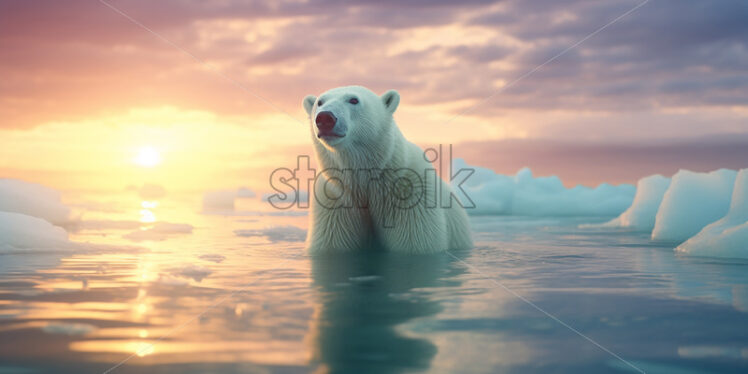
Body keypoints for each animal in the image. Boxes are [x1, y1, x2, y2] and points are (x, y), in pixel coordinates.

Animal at [300, 86, 470, 253]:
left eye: (353, 100)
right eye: (320, 102)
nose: (325, 118)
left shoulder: (411, 195)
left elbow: (414, 242)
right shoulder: (335, 199)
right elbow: (333, 242)